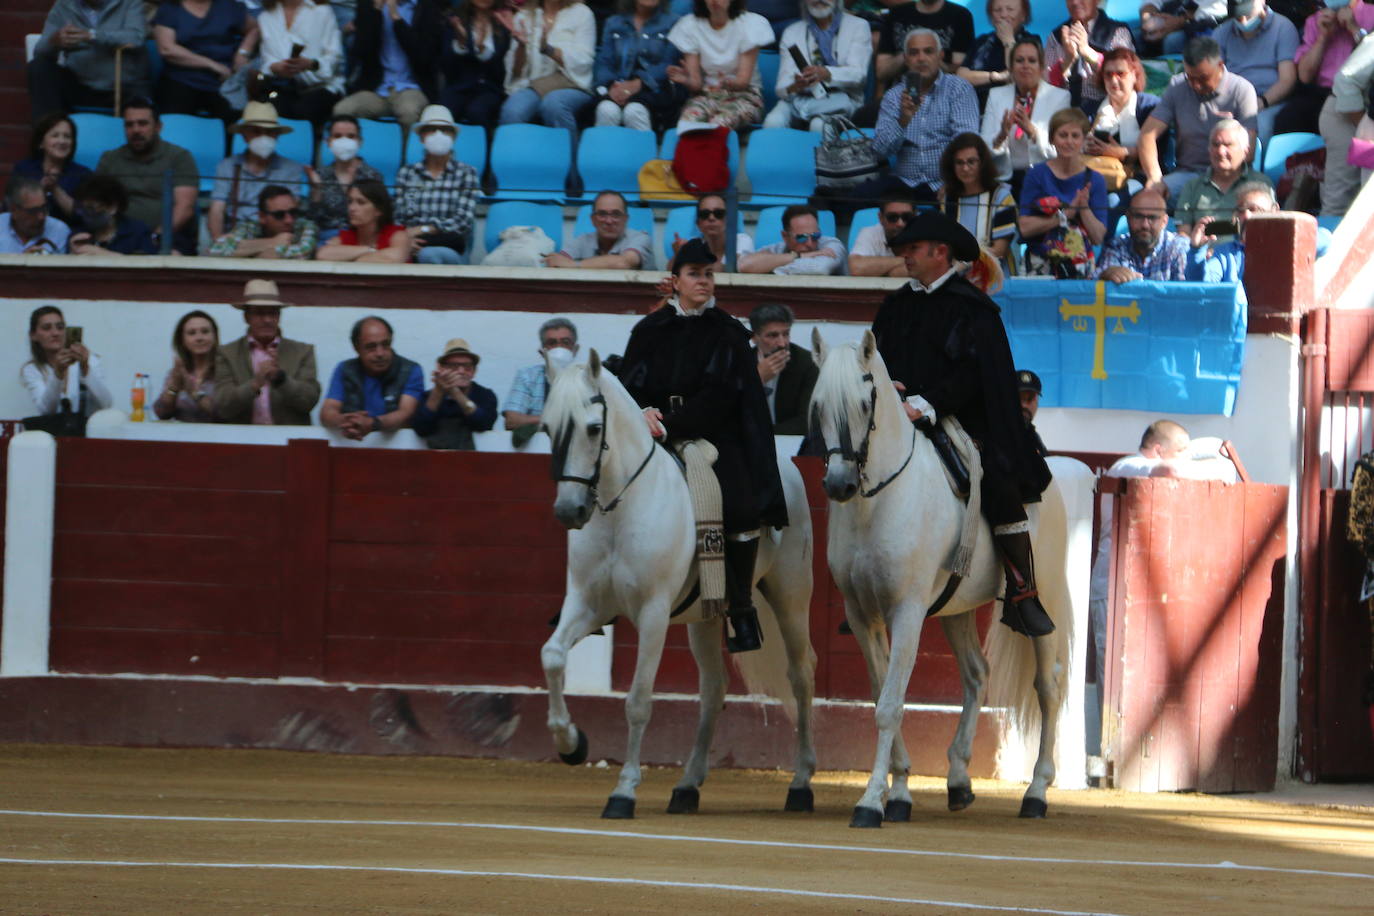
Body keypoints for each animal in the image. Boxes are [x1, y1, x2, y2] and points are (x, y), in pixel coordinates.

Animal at [535, 348, 813, 818]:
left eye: (593, 428)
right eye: (548, 428)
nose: (569, 511)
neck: (621, 507)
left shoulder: (653, 613)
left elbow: (638, 700)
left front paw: (624, 791)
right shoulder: (586, 603)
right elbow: (552, 656)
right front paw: (572, 744)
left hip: (791, 599)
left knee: (800, 674)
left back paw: (801, 784)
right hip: (706, 616)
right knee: (713, 688)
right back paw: (687, 786)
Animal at [807, 330, 1077, 829]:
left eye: (866, 401)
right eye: (817, 405)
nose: (839, 485)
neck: (877, 502)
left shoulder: (907, 611)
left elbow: (890, 705)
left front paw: (870, 802)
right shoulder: (862, 616)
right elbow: (881, 695)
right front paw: (898, 793)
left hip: (1044, 595)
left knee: (1048, 686)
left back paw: (1036, 792)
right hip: (956, 607)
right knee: (976, 674)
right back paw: (958, 780)